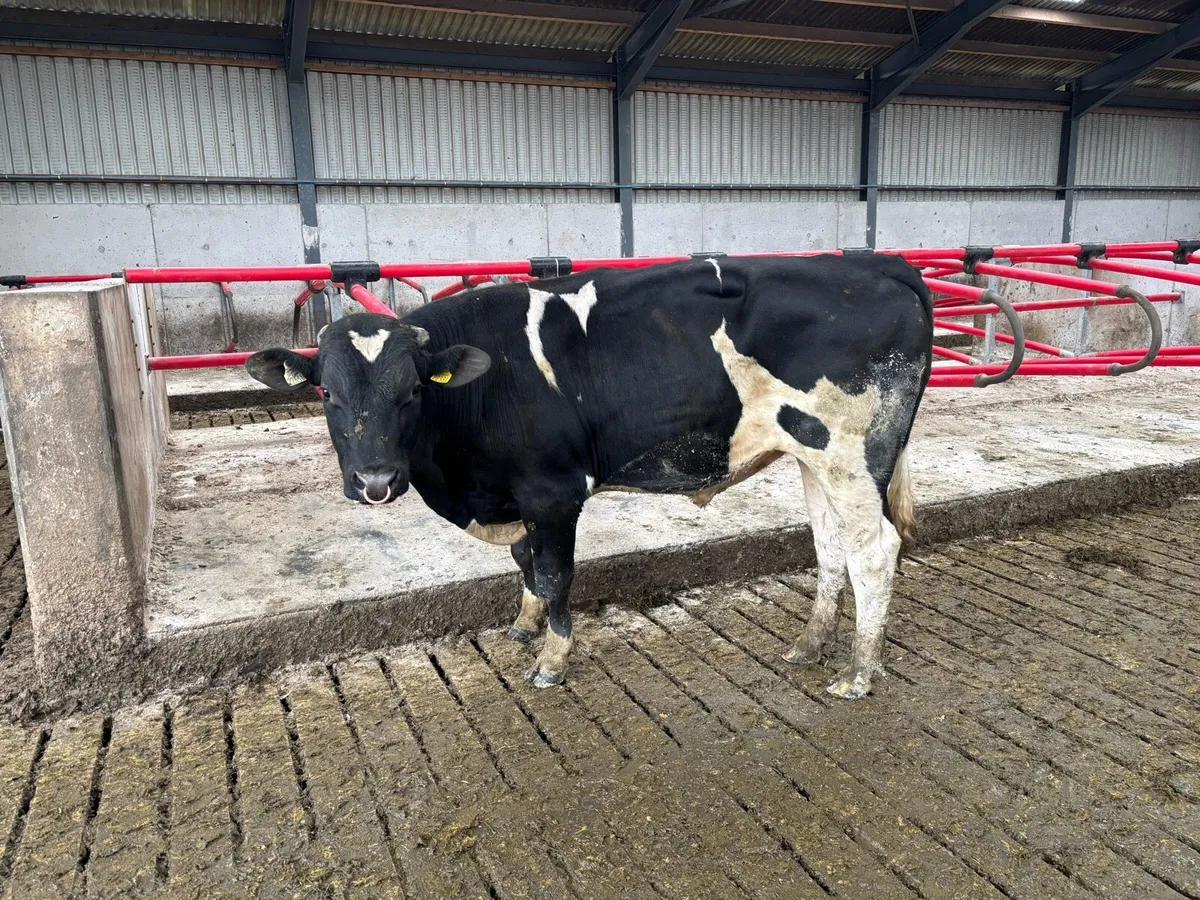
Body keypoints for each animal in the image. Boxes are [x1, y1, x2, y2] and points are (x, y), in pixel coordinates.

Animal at [247, 254, 933, 700]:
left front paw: (552, 659)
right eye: (326, 393)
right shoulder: (519, 496)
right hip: (814, 457)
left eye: (412, 391)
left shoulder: (552, 490)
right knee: (830, 547)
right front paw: (524, 625)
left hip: (850, 455)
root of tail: (878, 262)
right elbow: (525, 559)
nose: (375, 480)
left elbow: (554, 572)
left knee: (875, 551)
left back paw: (859, 674)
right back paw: (810, 645)